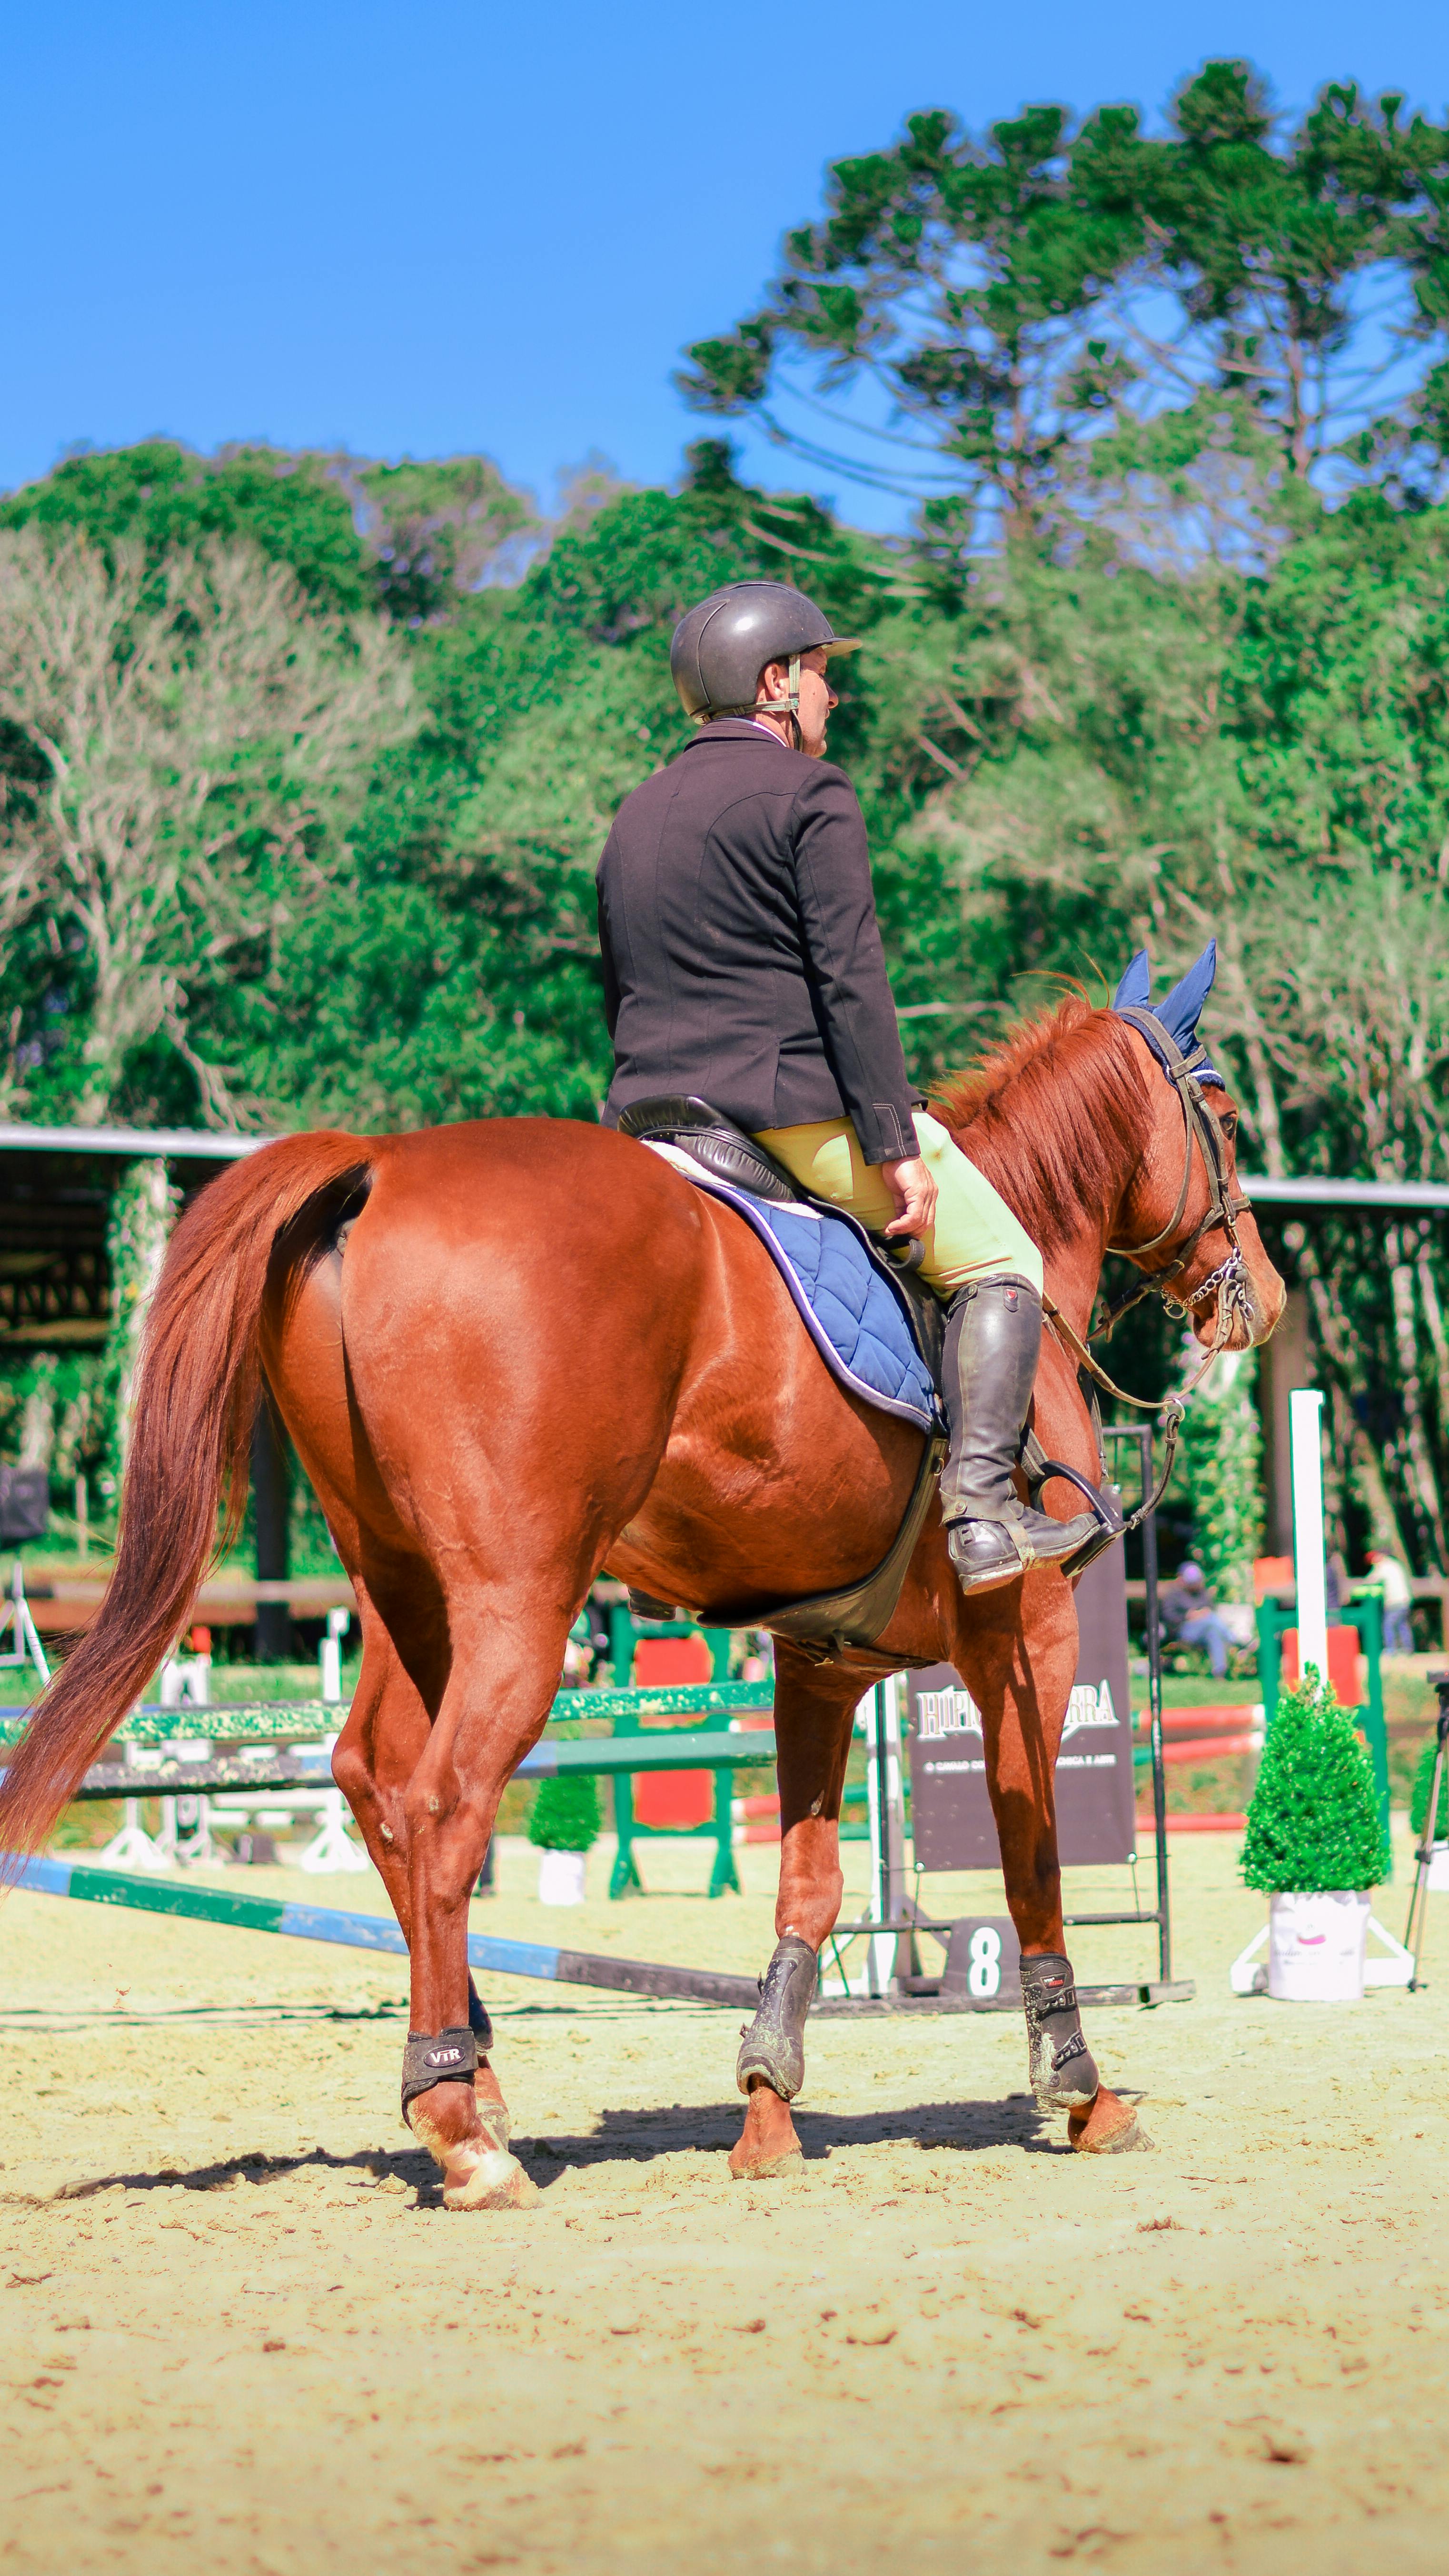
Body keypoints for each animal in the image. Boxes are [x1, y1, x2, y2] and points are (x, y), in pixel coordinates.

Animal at [0, 960, 1284, 2206]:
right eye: (1221, 1121)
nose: (1262, 1299)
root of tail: (382, 1163)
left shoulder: (821, 1663)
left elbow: (809, 1887)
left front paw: (766, 2104)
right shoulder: (1022, 1636)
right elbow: (1031, 1856)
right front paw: (1081, 2088)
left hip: (405, 1589)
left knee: (375, 1780)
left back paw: (472, 2075)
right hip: (522, 1601)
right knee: (443, 1802)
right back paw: (463, 2131)